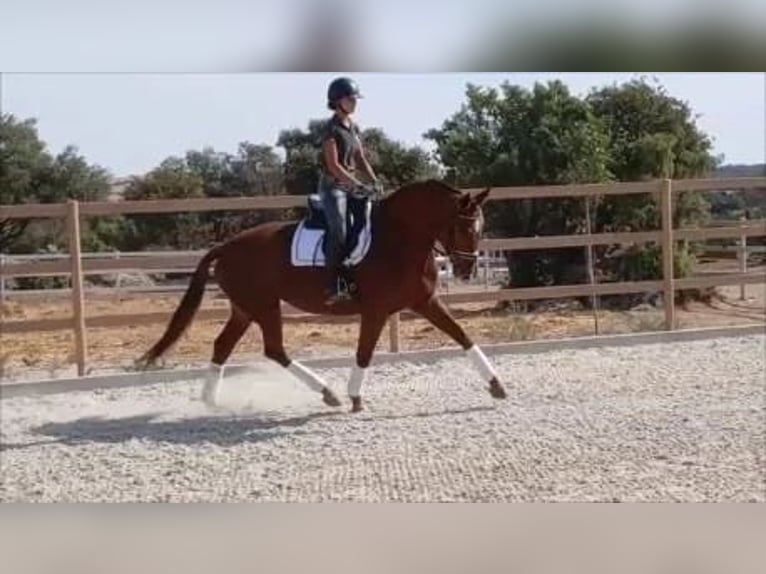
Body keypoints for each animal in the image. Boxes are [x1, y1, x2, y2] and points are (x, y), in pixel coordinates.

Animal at [139, 179, 508, 413]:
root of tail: (225, 247)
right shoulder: (376, 310)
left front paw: (496, 385)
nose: (466, 270)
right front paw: (355, 397)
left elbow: (462, 336)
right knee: (274, 349)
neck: (399, 238)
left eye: (480, 227)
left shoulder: (425, 302)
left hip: (244, 309)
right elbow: (364, 352)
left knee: (222, 346)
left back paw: (210, 400)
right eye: (463, 226)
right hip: (264, 305)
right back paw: (328, 393)